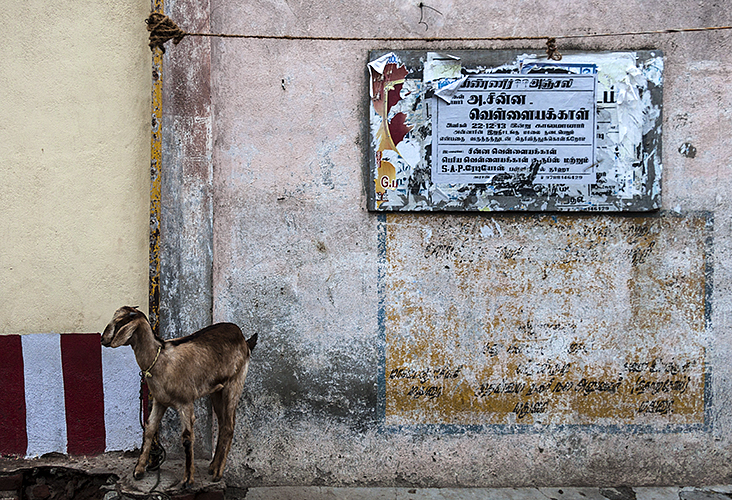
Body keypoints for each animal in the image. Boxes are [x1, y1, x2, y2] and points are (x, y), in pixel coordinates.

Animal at [100, 306, 254, 486]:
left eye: (119, 321)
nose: (102, 339)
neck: (160, 359)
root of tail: (244, 339)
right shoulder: (159, 401)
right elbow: (149, 429)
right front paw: (139, 470)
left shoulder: (185, 402)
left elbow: (187, 439)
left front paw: (188, 479)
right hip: (217, 390)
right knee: (223, 424)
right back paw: (213, 466)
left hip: (235, 383)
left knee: (229, 426)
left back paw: (218, 473)